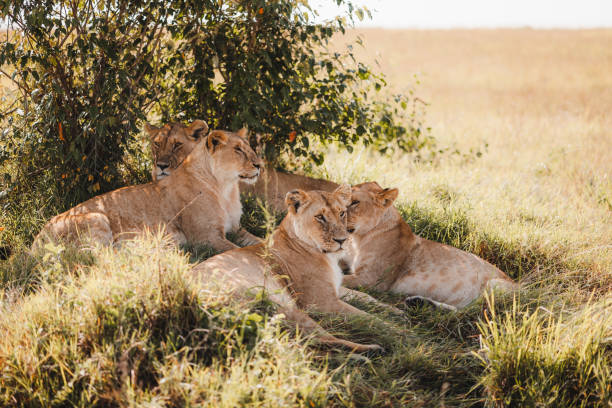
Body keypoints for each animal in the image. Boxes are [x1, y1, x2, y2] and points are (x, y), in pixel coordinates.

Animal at [32, 124, 262, 252]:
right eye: (238, 150)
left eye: (250, 147)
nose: (259, 165)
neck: (226, 188)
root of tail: (34, 243)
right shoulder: (205, 238)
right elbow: (243, 250)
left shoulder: (236, 229)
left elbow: (260, 240)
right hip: (96, 218)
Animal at [191, 186, 382, 352]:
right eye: (320, 217)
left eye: (342, 213)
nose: (342, 240)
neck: (328, 257)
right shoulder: (321, 303)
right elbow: (366, 317)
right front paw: (389, 327)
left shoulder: (333, 288)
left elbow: (364, 297)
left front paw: (387, 308)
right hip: (283, 306)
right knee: (321, 339)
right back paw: (371, 350)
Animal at [342, 182, 520, 310]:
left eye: (355, 202)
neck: (357, 239)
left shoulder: (373, 279)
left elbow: (342, 279)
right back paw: (419, 302)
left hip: (495, 286)